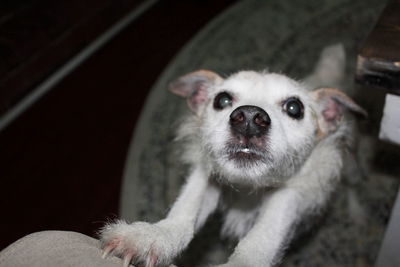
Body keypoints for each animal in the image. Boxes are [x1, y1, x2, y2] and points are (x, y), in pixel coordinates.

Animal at [99, 45, 366, 266]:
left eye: (294, 107)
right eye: (222, 99)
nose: (248, 118)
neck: (248, 188)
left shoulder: (290, 193)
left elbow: (260, 239)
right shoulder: (207, 175)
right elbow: (185, 208)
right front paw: (152, 236)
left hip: (351, 166)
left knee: (353, 184)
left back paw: (357, 213)